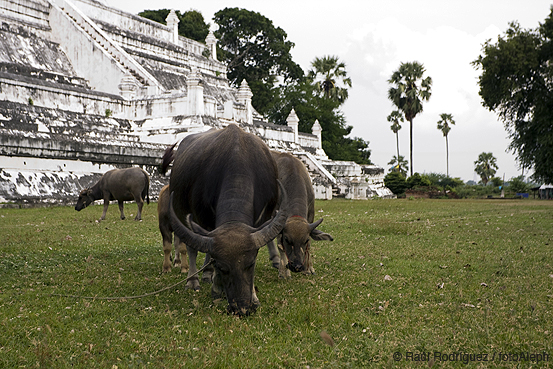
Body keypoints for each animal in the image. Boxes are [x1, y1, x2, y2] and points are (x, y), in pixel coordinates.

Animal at [165, 125, 288, 314]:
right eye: (223, 267)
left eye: (250, 264)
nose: (242, 307)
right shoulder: (202, 218)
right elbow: (206, 251)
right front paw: (216, 288)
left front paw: (254, 297)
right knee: (192, 248)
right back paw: (194, 280)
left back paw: (207, 274)